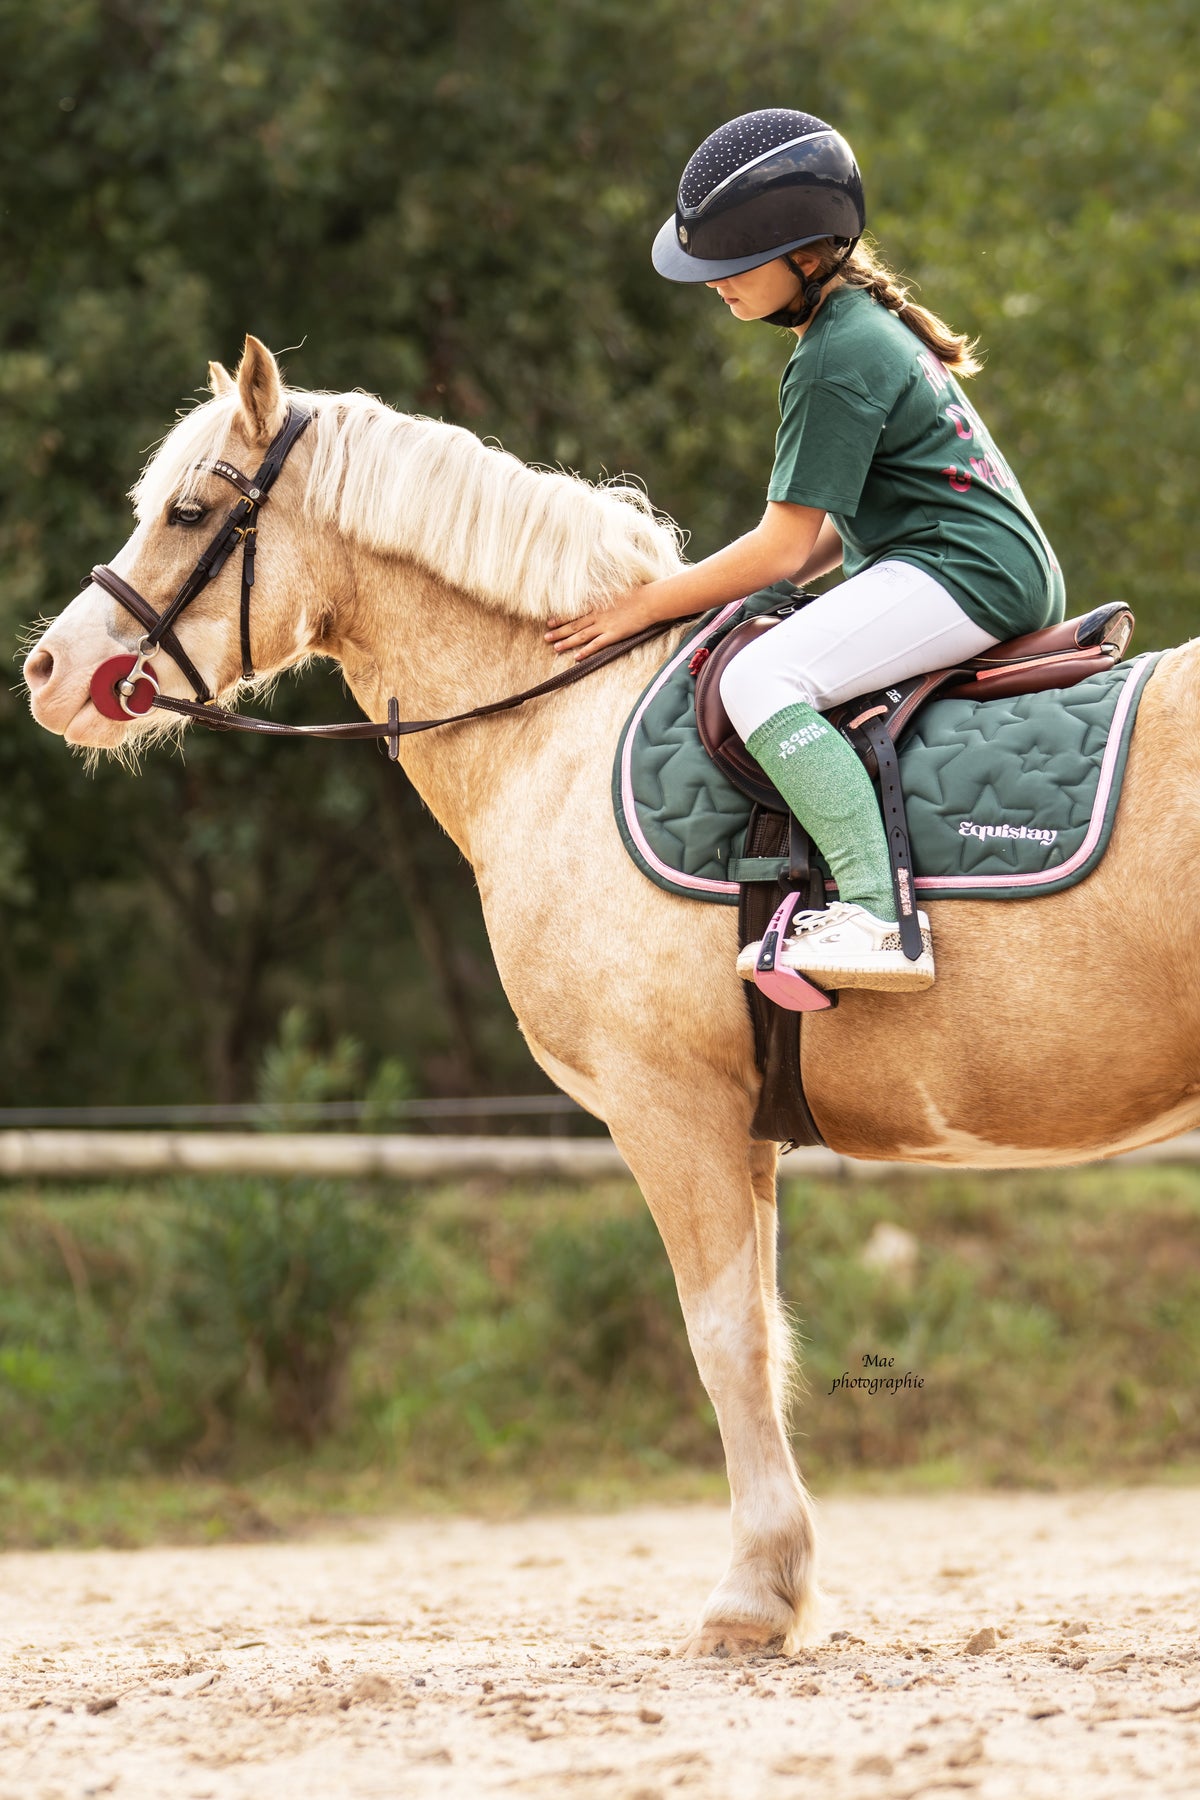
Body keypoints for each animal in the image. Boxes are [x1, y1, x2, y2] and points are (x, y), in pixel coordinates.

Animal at [23, 336, 1200, 1656]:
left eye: (189, 512)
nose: (49, 670)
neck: (561, 730)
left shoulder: (668, 1111)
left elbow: (723, 1339)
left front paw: (752, 1596)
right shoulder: (741, 1132)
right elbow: (764, 1338)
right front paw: (777, 1583)